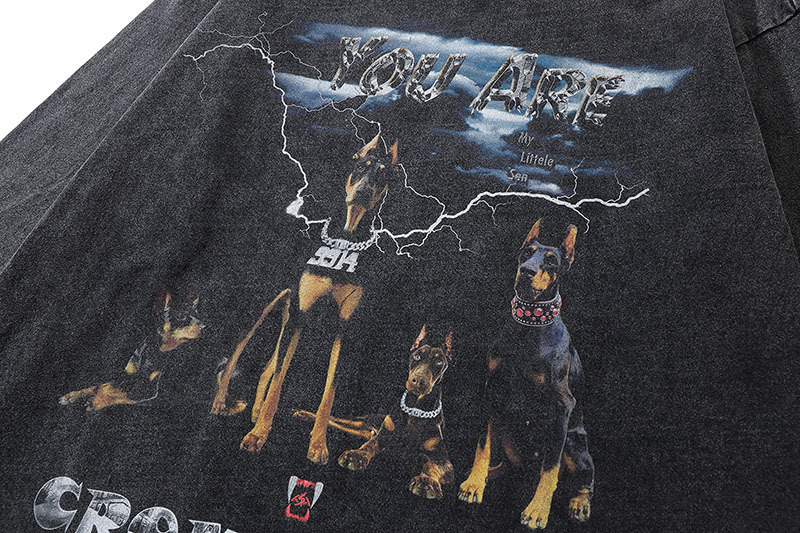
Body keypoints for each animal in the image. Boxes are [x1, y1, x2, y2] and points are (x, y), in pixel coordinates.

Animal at [59, 292, 205, 411]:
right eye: (182, 315)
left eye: (197, 315)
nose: (204, 326)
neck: (155, 351)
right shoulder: (127, 375)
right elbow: (100, 385)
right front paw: (72, 396)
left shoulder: (149, 391)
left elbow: (119, 393)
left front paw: (97, 400)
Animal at [211, 133, 399, 465]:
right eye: (360, 168)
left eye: (382, 175)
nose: (363, 193)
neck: (345, 239)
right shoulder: (301, 317)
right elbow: (279, 381)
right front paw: (259, 436)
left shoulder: (343, 328)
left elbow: (328, 393)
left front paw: (318, 445)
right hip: (264, 308)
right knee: (237, 353)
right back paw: (222, 403)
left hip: (289, 312)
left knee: (267, 367)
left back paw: (255, 413)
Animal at [293, 325, 454, 499]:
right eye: (417, 356)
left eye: (439, 361)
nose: (418, 381)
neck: (415, 409)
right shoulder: (383, 437)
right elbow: (369, 446)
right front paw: (356, 455)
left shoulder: (443, 459)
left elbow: (432, 466)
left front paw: (426, 481)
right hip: (364, 421)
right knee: (335, 419)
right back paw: (304, 416)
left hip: (364, 430)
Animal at [458, 219, 594, 529]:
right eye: (526, 252)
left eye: (552, 260)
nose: (527, 271)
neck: (528, 329)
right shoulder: (493, 390)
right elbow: (482, 445)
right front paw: (474, 484)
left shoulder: (562, 407)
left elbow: (550, 468)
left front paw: (537, 511)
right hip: (504, 422)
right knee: (507, 463)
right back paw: (487, 475)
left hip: (574, 442)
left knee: (582, 480)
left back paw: (579, 503)